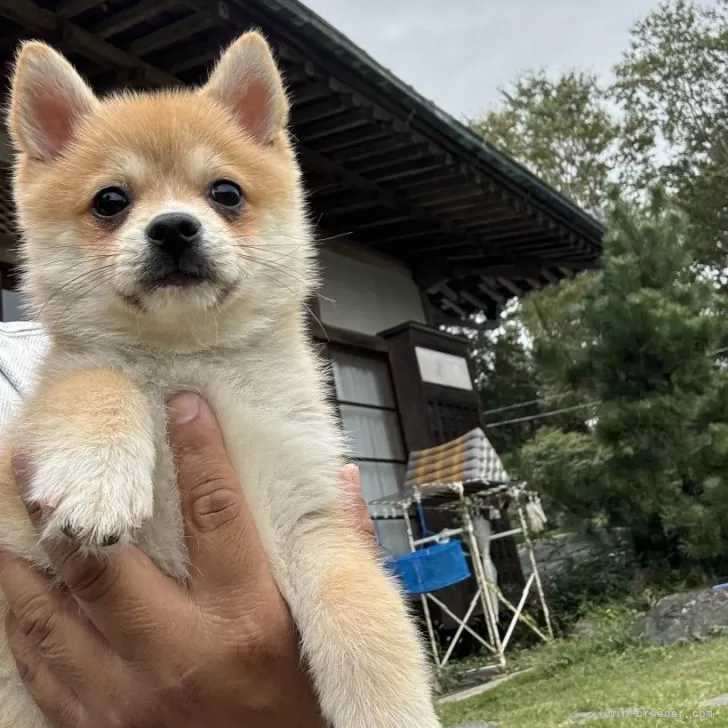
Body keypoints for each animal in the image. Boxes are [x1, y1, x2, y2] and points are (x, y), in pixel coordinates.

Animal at [0, 31, 440, 724]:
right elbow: (96, 381)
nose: (174, 227)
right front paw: (97, 481)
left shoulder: (309, 520)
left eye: (226, 193)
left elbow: (366, 624)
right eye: (110, 201)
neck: (189, 359)